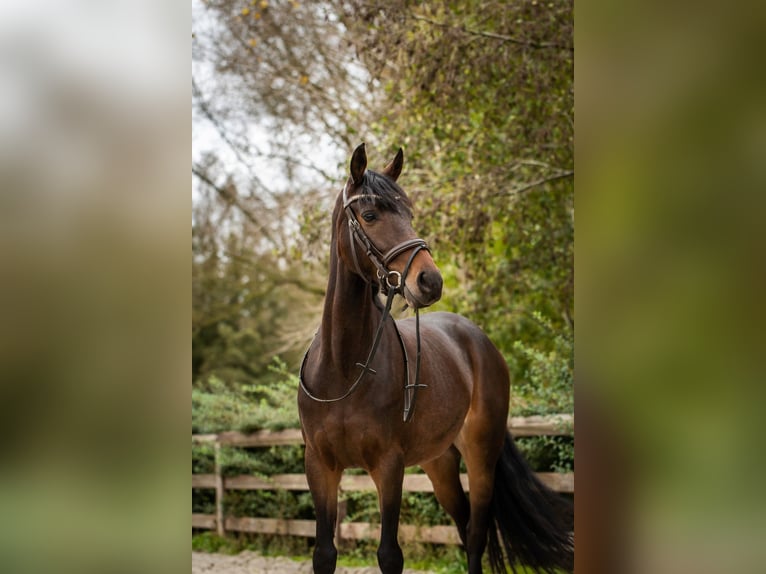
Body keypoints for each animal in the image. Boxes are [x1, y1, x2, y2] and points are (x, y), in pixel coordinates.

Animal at [296, 144, 572, 574]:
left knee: (475, 534)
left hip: (480, 456)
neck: (343, 370)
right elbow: (324, 554)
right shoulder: (320, 467)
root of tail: (479, 340)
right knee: (463, 524)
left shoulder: (389, 466)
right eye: (370, 215)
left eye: (409, 213)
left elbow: (389, 555)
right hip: (440, 462)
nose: (430, 281)